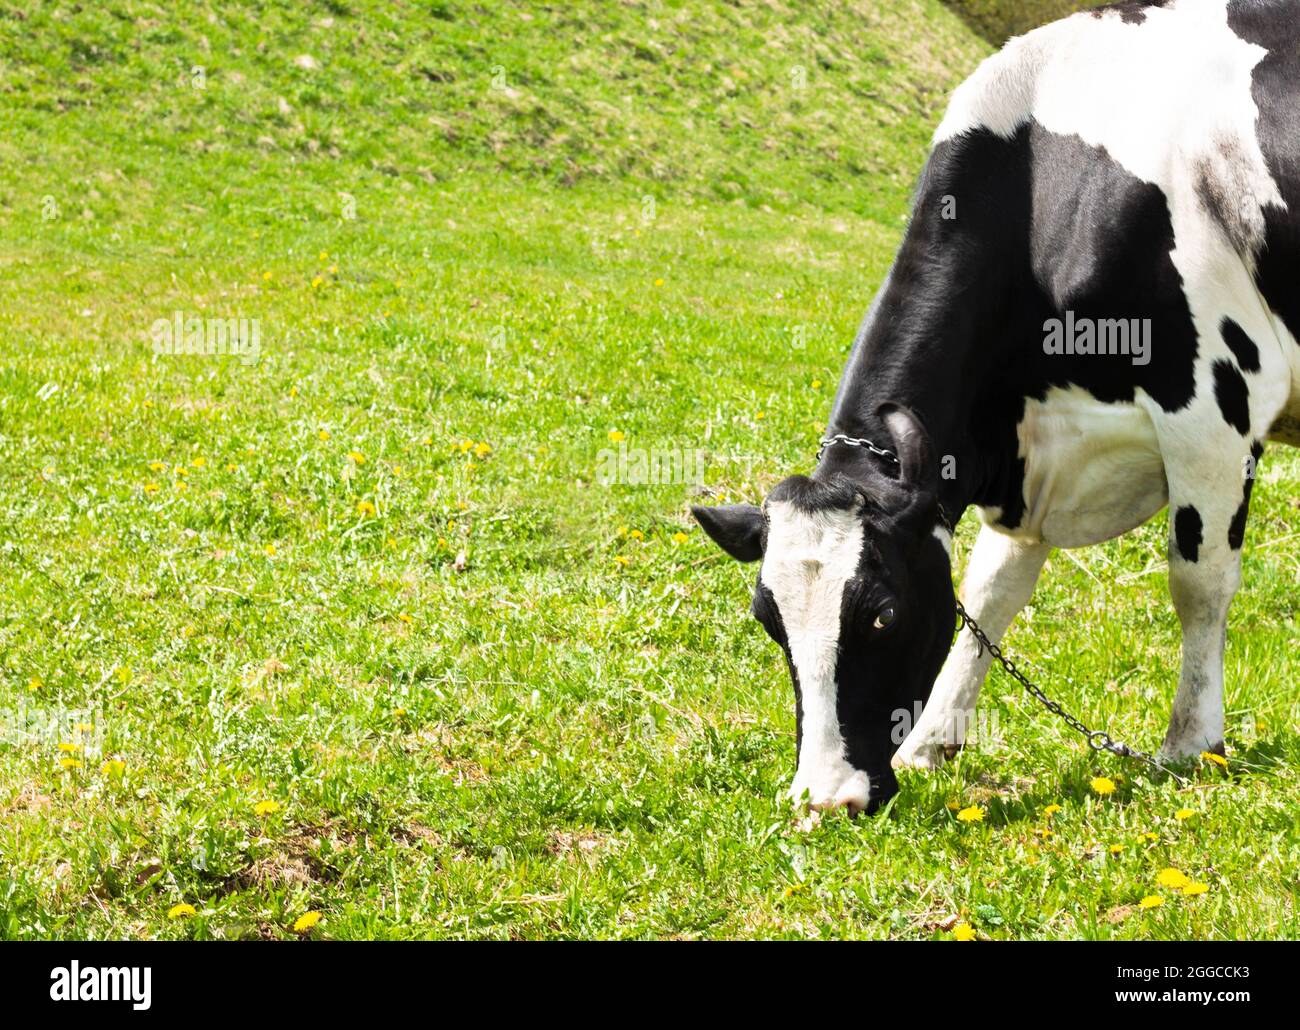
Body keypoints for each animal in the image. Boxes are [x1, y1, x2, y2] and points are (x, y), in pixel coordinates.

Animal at [692, 0, 1300, 815]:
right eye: (768, 621)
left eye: (882, 614)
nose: (826, 797)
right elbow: (989, 594)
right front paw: (931, 741)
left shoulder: (1210, 413)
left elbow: (1198, 585)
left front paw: (1192, 745)